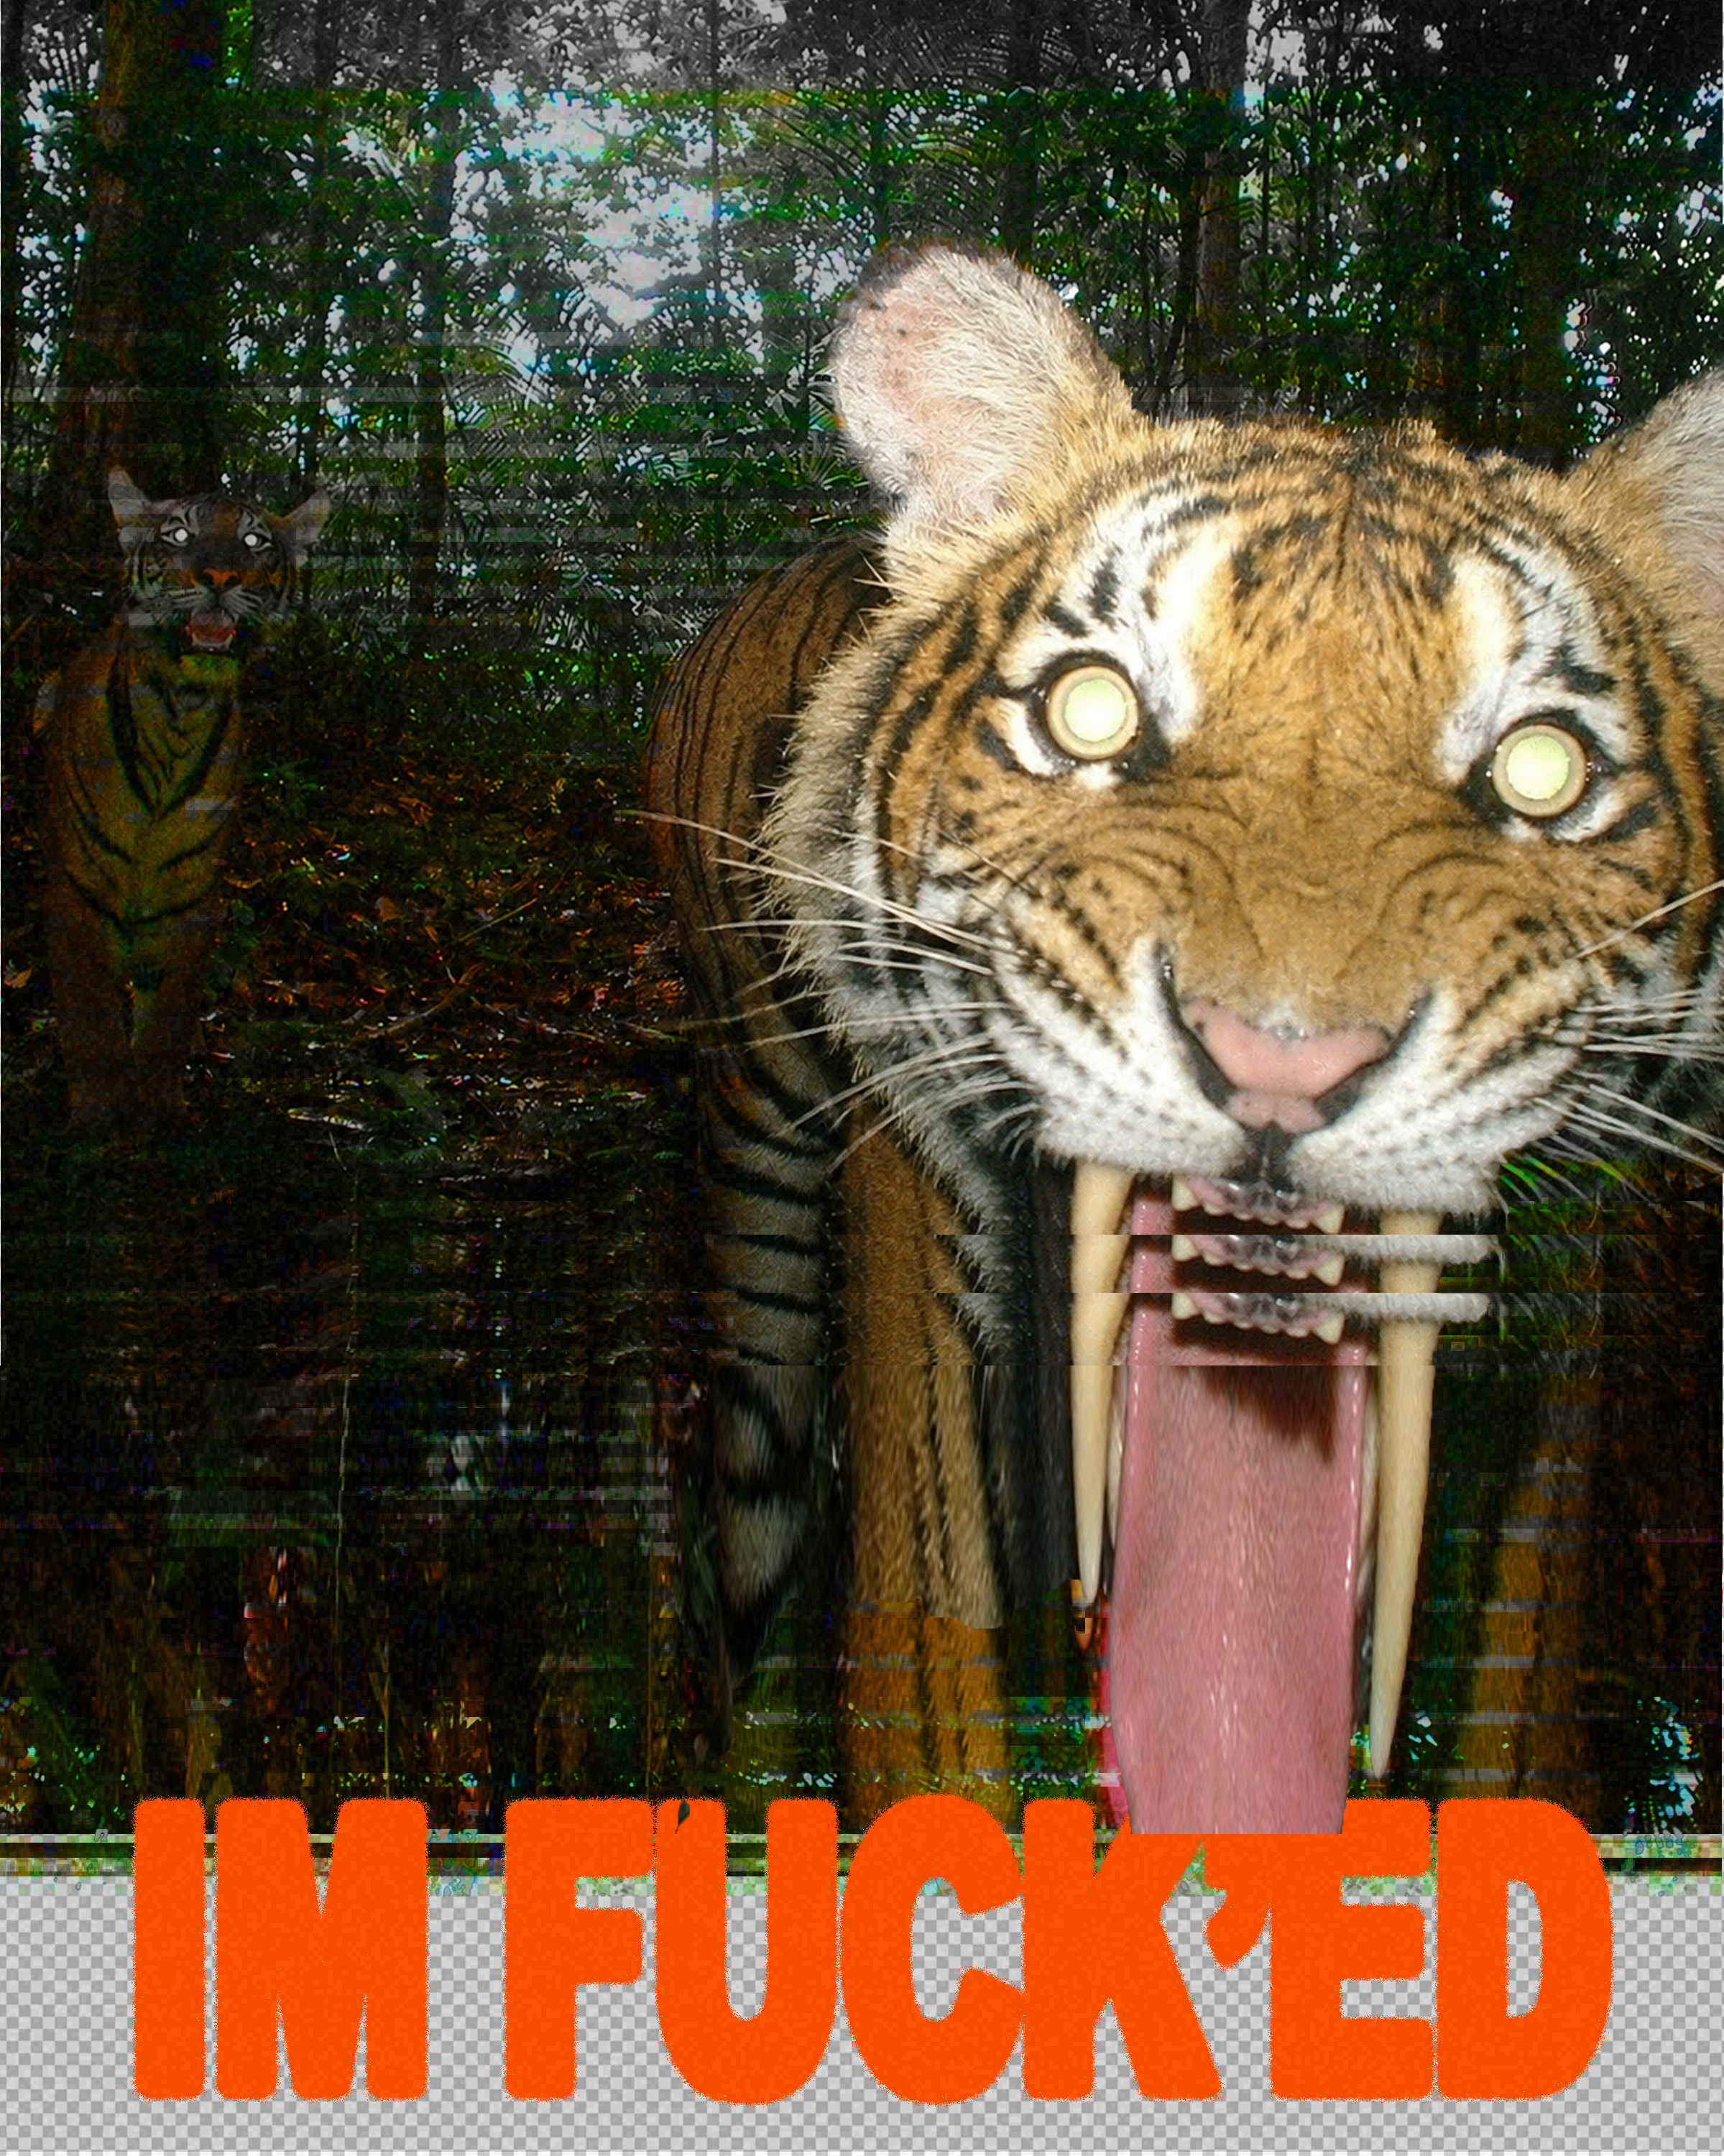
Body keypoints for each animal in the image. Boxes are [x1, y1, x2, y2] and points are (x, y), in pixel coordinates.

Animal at [36, 467, 330, 1124]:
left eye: (253, 542)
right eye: (177, 535)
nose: (217, 578)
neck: (181, 707)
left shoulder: (193, 900)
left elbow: (168, 1022)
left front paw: (157, 1112)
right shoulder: (75, 896)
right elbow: (92, 1021)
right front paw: (95, 1119)